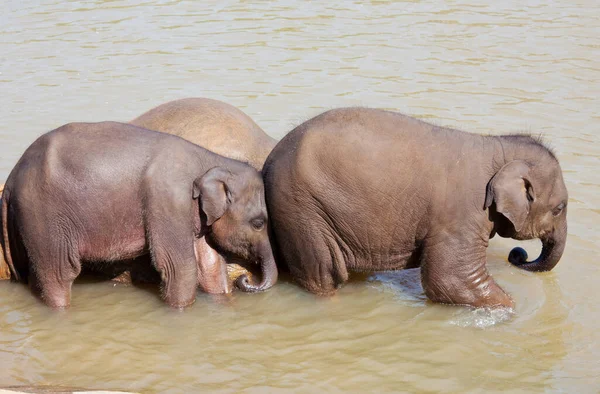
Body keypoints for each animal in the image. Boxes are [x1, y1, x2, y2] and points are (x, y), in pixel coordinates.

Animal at [0, 121, 276, 308]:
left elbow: (210, 266)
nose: (246, 279)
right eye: (259, 223)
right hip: (44, 216)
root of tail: (11, 178)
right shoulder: (168, 202)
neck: (211, 159)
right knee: (59, 274)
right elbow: (179, 267)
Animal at [264, 107, 568, 308]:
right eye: (559, 208)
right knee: (324, 274)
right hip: (302, 210)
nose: (517, 255)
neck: (499, 146)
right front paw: (511, 309)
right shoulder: (461, 215)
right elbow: (449, 280)